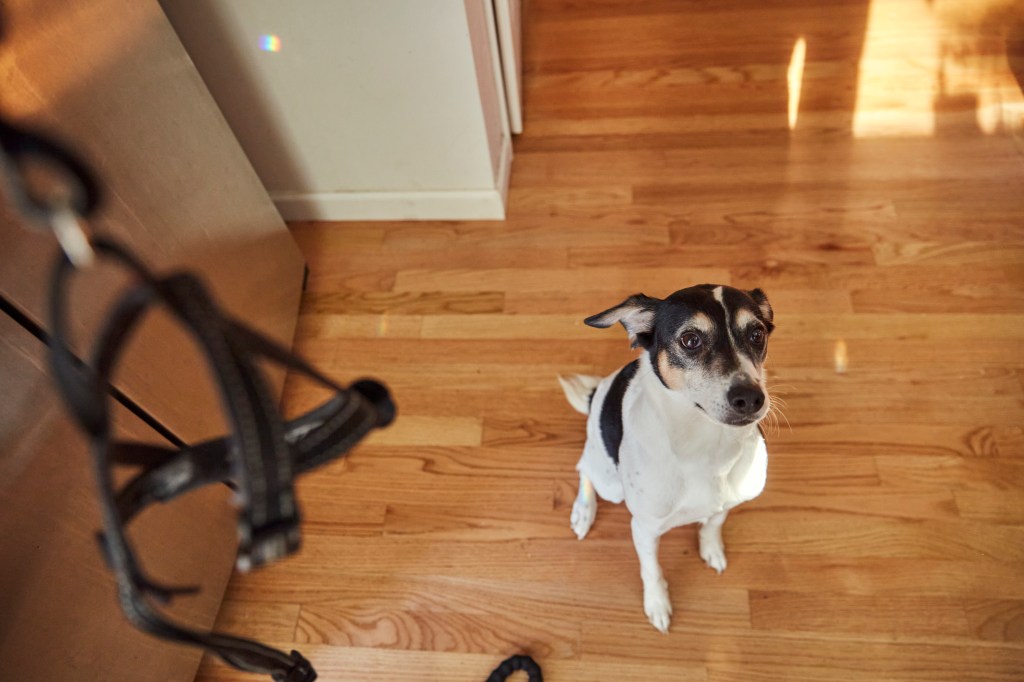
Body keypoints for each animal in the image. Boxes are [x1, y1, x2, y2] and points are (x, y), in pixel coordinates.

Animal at [565, 282, 770, 630]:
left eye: (757, 334)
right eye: (690, 339)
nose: (751, 398)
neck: (704, 445)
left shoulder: (727, 502)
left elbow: (713, 524)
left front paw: (710, 547)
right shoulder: (644, 529)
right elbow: (652, 570)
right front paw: (657, 603)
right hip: (609, 482)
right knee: (584, 469)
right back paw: (584, 510)